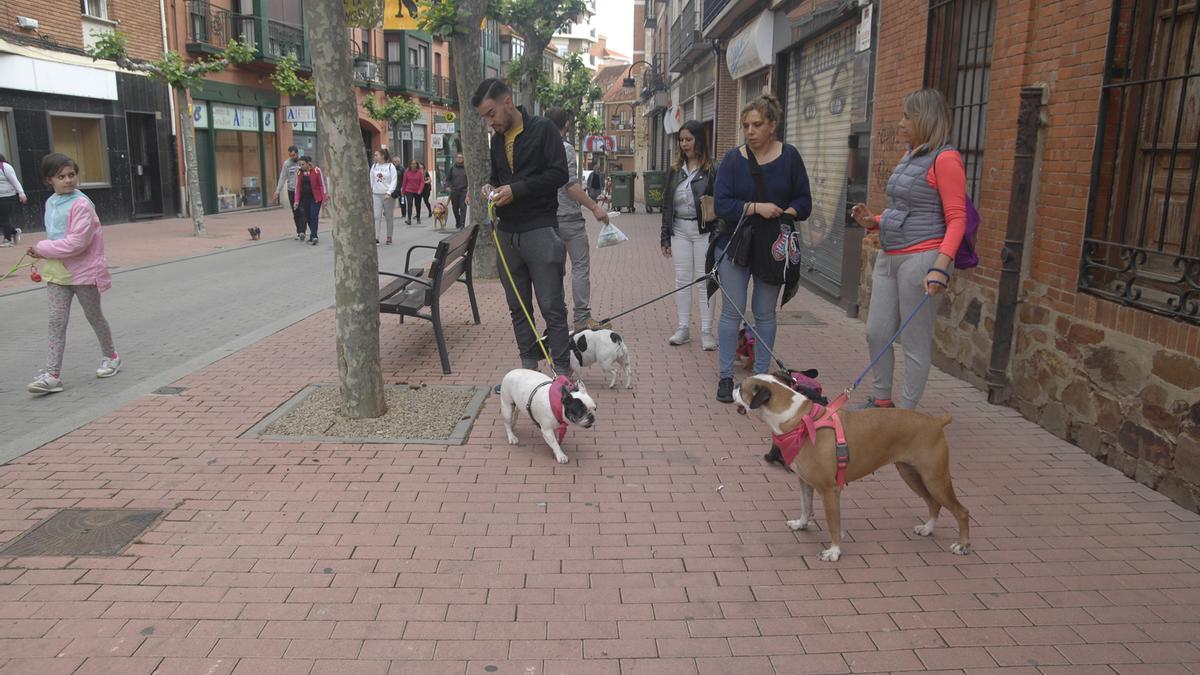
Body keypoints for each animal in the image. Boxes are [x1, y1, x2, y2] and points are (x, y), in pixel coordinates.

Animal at [729, 369, 974, 559]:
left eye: (741, 388)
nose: (732, 384)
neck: (801, 421)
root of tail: (935, 422)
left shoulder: (830, 490)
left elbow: (833, 524)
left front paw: (834, 551)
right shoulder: (804, 481)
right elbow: (806, 506)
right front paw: (802, 524)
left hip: (935, 479)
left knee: (961, 511)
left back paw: (962, 545)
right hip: (911, 475)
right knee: (934, 503)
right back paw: (928, 528)